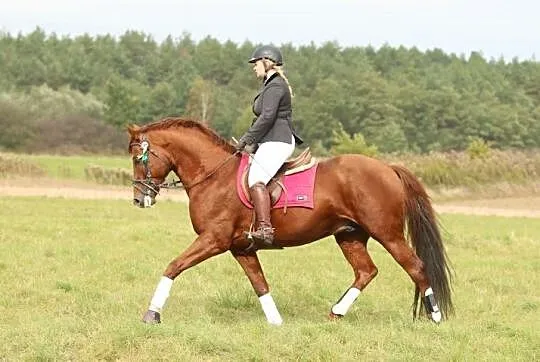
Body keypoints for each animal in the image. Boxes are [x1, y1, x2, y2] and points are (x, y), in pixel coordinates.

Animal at [129, 116, 454, 326]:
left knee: (415, 267)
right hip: (349, 234)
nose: (139, 199)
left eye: (136, 157)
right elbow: (260, 284)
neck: (214, 175)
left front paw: (152, 314)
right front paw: (276, 322)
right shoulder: (241, 248)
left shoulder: (213, 240)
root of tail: (387, 168)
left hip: (388, 233)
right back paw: (335, 313)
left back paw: (435, 317)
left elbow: (173, 266)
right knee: (366, 271)